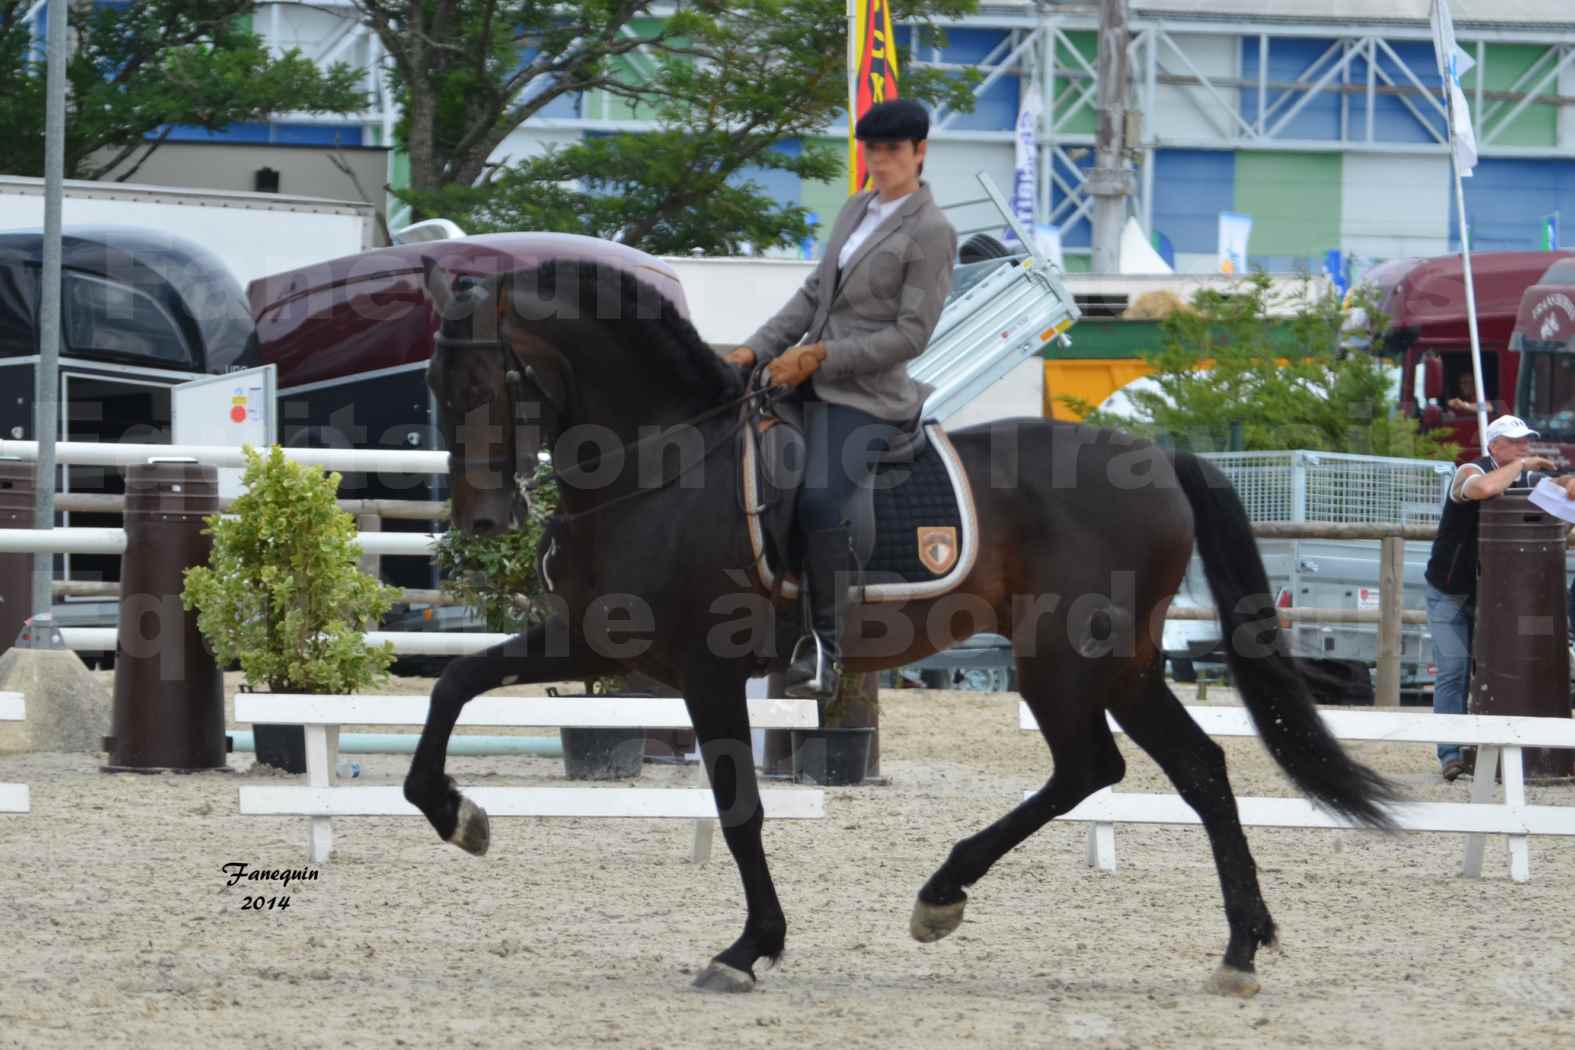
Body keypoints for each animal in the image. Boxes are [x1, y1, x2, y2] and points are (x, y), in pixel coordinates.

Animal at [403, 258, 1392, 1001]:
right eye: (436, 386)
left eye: (491, 379)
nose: (481, 521)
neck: (663, 461)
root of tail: (1159, 456)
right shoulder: (596, 640)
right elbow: (454, 684)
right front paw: (458, 816)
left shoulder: (709, 672)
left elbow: (739, 807)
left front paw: (748, 948)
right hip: (1122, 664)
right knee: (1198, 769)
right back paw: (1239, 948)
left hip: (1062, 659)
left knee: (1090, 768)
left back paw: (941, 895)